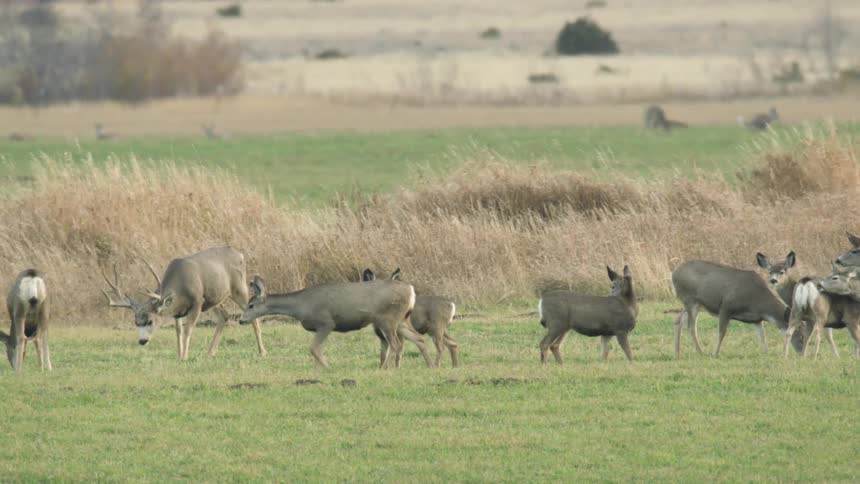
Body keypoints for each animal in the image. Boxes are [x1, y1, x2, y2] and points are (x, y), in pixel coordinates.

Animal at [102, 246, 266, 361]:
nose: (142, 341)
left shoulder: (197, 302)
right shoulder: (178, 311)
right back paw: (210, 353)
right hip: (213, 299)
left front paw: (185, 356)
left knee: (253, 316)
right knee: (224, 316)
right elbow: (178, 331)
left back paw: (262, 351)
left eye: (150, 321)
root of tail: (240, 254)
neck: (180, 284)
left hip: (238, 288)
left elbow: (188, 330)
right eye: (136, 322)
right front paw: (179, 355)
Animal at [238, 275, 431, 368]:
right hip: (402, 319)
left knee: (396, 344)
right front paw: (318, 369)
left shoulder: (326, 323)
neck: (300, 306)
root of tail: (411, 290)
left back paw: (384, 368)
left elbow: (314, 348)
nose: (241, 320)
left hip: (387, 318)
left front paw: (327, 367)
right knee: (419, 339)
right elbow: (317, 349)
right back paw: (431, 366)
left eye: (250, 305)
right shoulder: (320, 328)